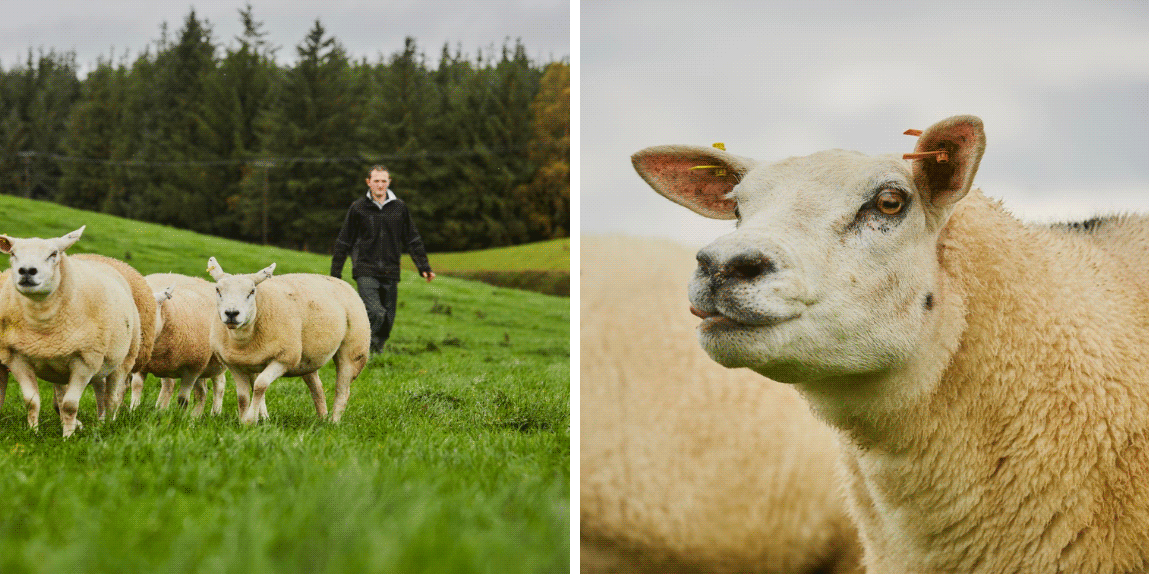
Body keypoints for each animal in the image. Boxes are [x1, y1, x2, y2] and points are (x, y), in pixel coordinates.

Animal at [0, 226, 140, 436]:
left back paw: (108, 425)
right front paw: (34, 433)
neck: (42, 324)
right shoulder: (17, 358)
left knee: (112, 397)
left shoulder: (85, 361)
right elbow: (31, 401)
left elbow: (70, 405)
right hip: (77, 366)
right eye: (13, 254)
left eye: (53, 254)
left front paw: (68, 436)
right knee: (99, 392)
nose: (27, 271)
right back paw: (99, 422)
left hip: (123, 360)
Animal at [129, 273, 227, 417]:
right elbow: (136, 386)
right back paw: (186, 415)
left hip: (215, 362)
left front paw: (180, 418)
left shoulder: (192, 370)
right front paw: (133, 409)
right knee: (194, 390)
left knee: (219, 386)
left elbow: (183, 399)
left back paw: (215, 413)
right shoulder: (142, 366)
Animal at [204, 258, 369, 424]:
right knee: (317, 388)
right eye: (217, 290)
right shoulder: (235, 364)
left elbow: (260, 385)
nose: (231, 313)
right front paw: (244, 421)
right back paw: (322, 418)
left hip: (353, 349)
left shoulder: (284, 358)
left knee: (342, 390)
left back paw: (334, 422)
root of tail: (342, 282)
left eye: (252, 291)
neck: (242, 339)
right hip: (307, 358)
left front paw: (251, 420)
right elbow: (242, 397)